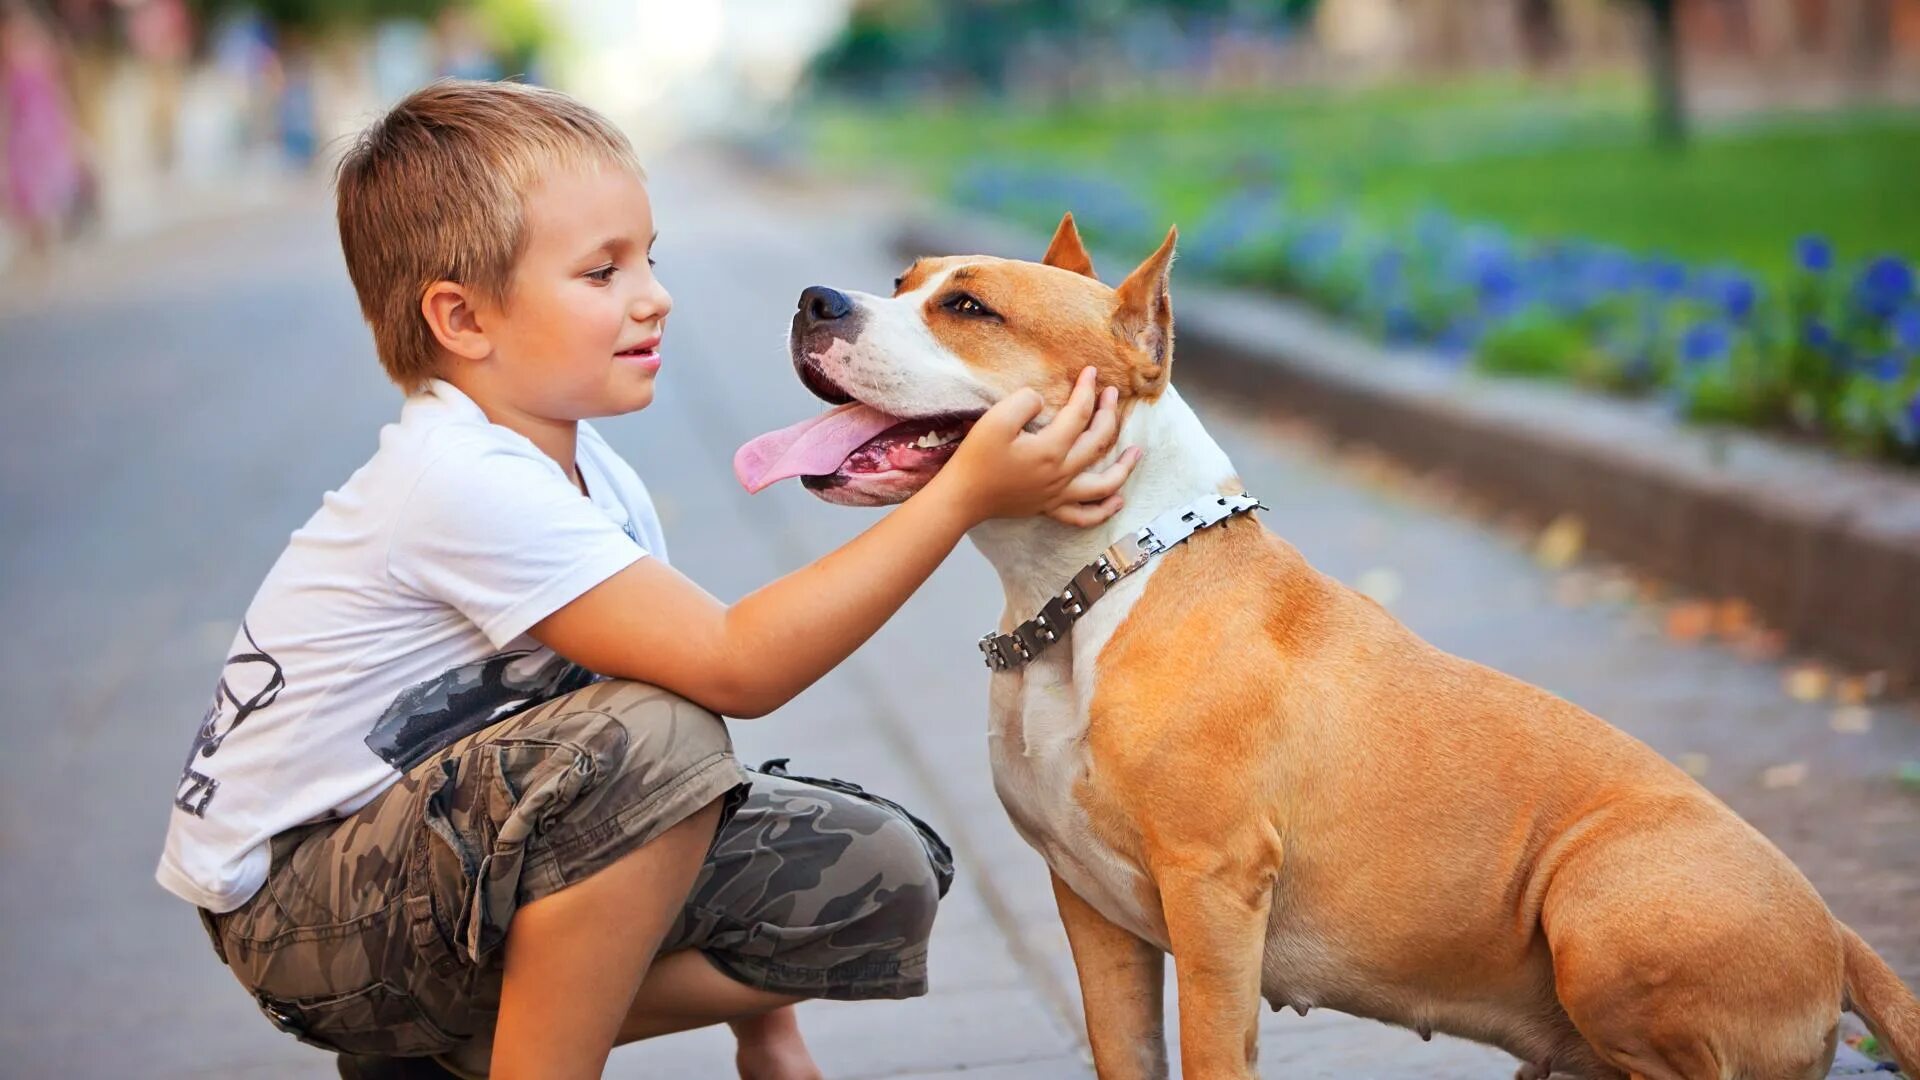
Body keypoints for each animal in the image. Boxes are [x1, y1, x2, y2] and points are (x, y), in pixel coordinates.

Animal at [733, 212, 1920, 1076]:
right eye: (903, 277)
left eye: (969, 307)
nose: (814, 300)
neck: (1086, 590)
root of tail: (1839, 931)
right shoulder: (1095, 913)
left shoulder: (1214, 899)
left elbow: (1215, 1057)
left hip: (1604, 902)